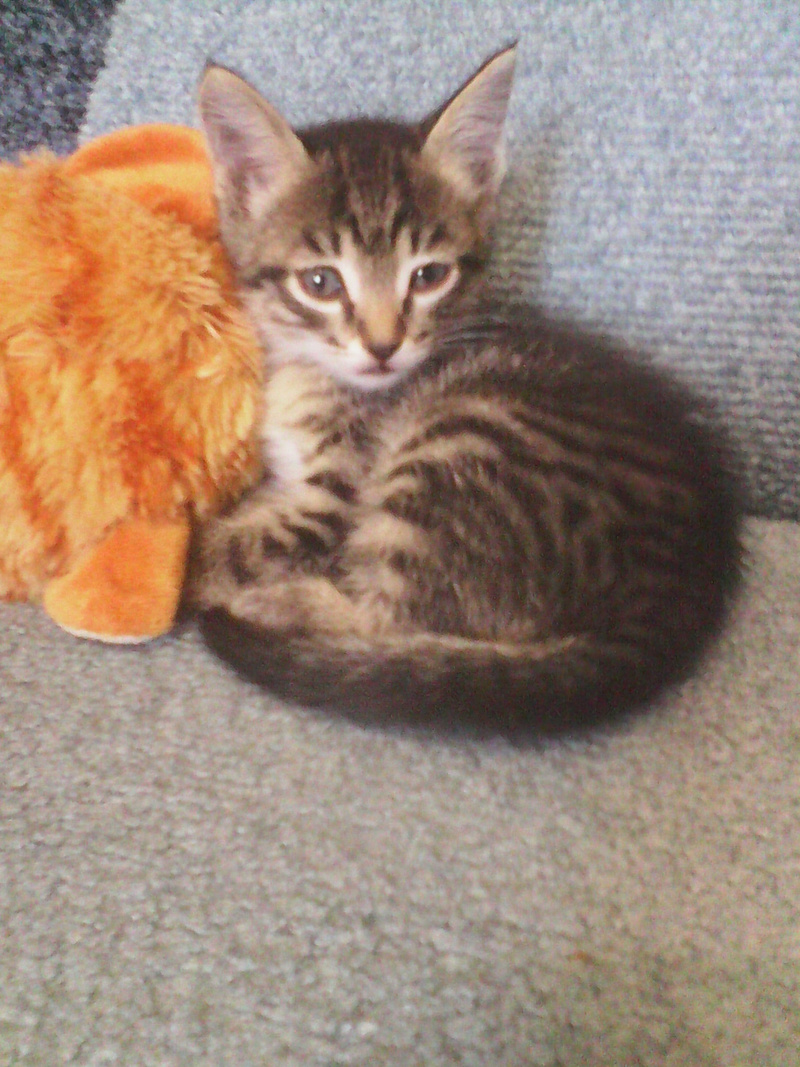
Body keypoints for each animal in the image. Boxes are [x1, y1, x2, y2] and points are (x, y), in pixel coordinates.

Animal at [191, 45, 742, 739]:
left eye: (429, 276)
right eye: (320, 283)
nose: (383, 346)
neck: (314, 375)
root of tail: (682, 583)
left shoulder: (333, 499)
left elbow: (232, 547)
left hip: (461, 440)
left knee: (389, 620)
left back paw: (275, 606)